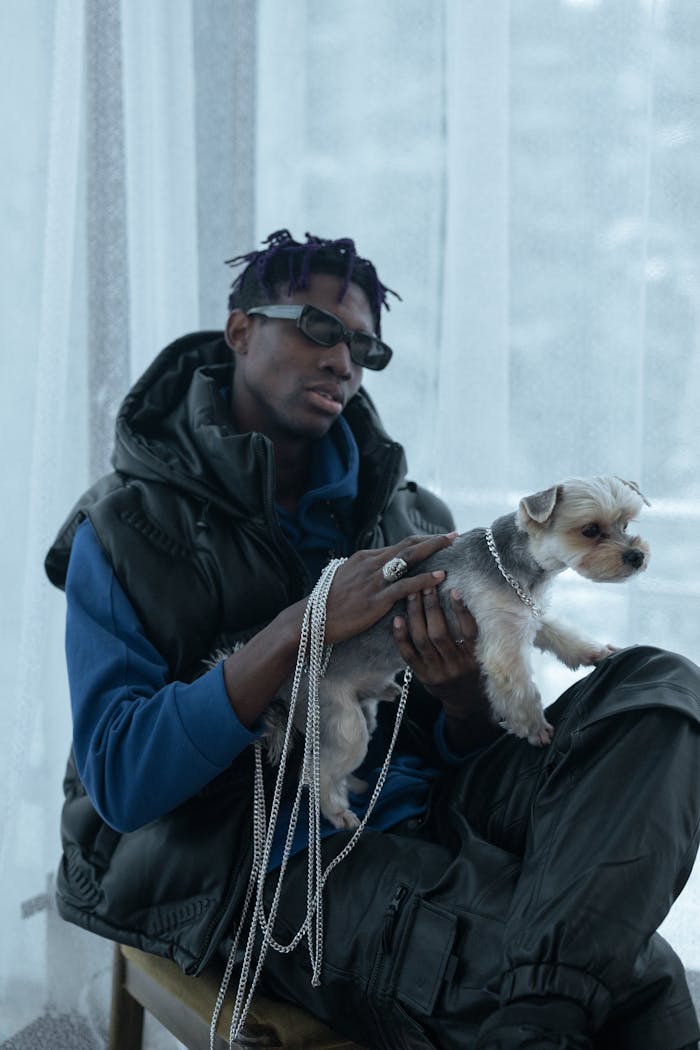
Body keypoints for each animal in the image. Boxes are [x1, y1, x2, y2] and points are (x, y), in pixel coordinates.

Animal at [264, 474, 650, 827]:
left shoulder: (527, 613)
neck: (515, 563)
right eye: (590, 530)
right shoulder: (503, 638)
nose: (637, 556)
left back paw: (356, 782)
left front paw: (595, 653)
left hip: (360, 712)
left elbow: (559, 633)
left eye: (626, 524)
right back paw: (338, 812)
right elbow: (520, 687)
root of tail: (283, 687)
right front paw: (534, 727)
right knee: (321, 769)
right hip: (339, 718)